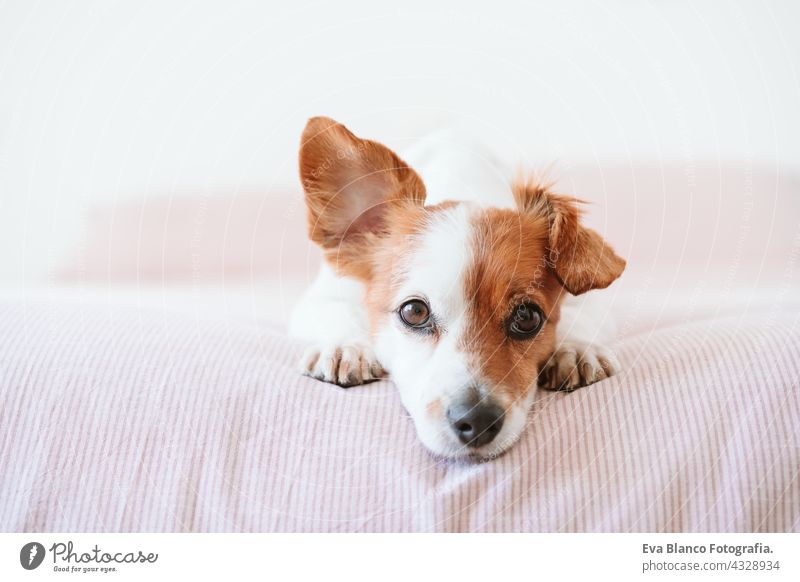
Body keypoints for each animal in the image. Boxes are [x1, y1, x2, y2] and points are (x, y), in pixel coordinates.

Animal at [288, 118, 624, 464]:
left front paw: (575, 348)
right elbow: (338, 313)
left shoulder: (595, 303)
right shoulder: (320, 298)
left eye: (528, 317)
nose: (477, 421)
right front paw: (347, 347)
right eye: (414, 311)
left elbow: (581, 318)